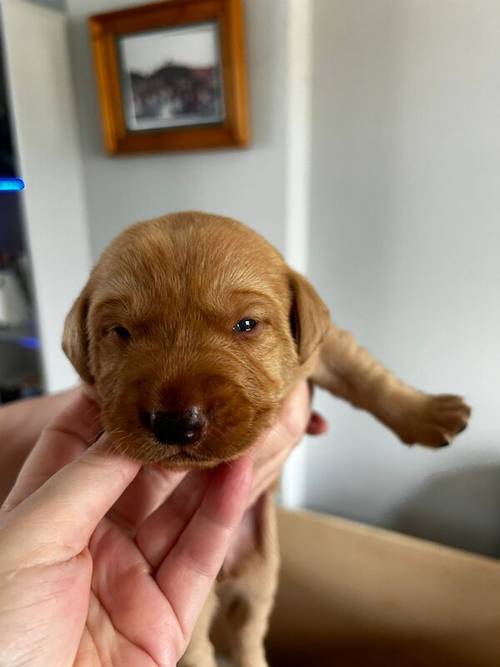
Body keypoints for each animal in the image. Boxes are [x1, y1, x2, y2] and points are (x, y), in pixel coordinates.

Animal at [61, 213, 468, 667]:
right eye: (120, 331)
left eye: (246, 325)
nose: (177, 424)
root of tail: (224, 573)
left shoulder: (325, 347)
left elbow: (368, 377)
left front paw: (432, 414)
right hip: (194, 606)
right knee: (198, 650)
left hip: (259, 578)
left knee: (248, 633)